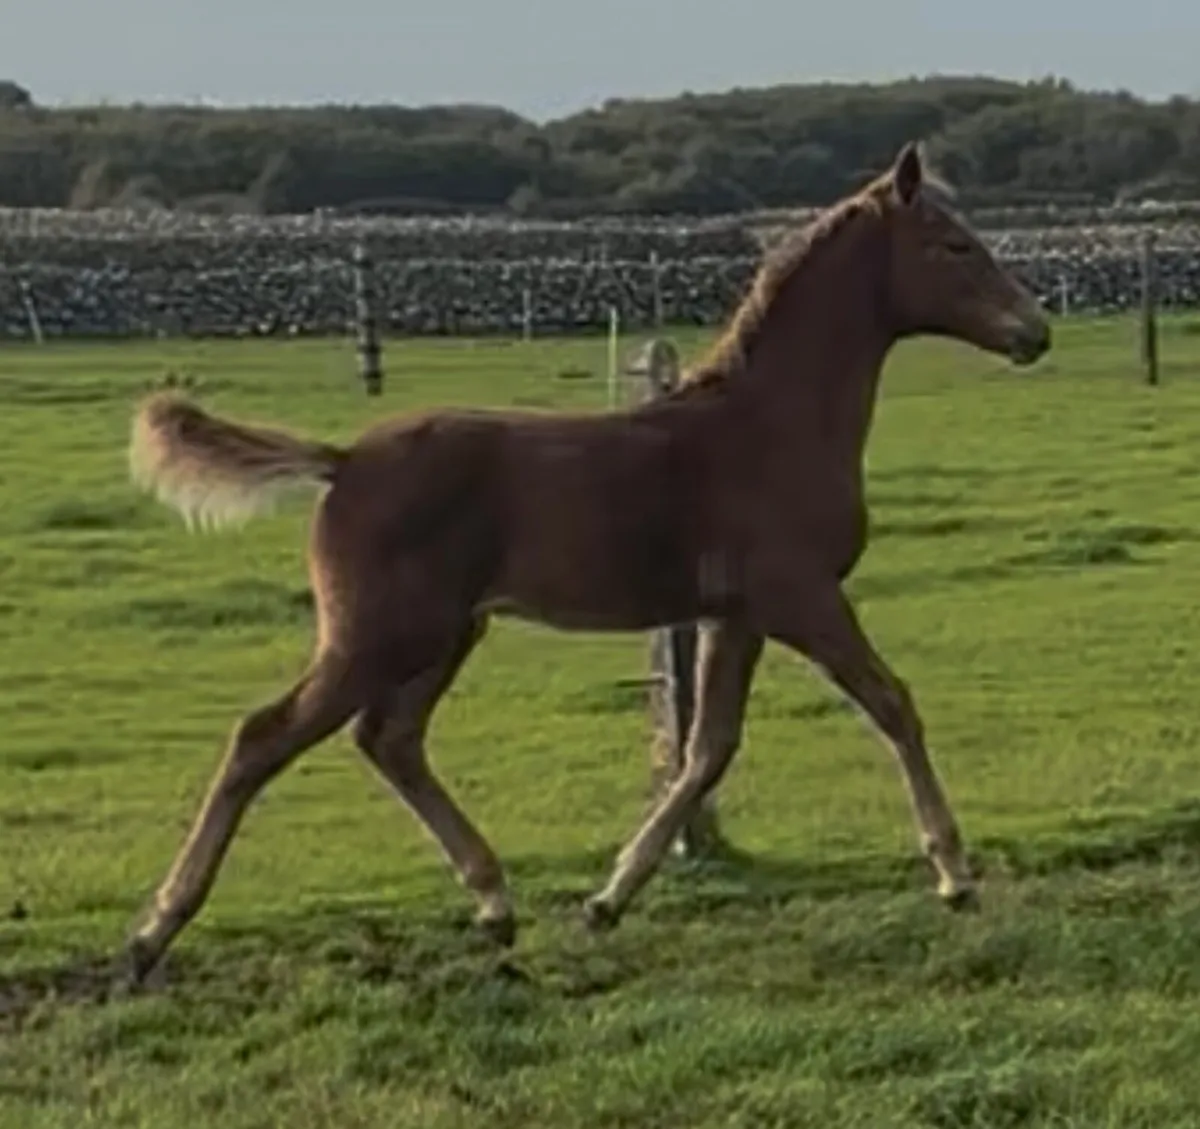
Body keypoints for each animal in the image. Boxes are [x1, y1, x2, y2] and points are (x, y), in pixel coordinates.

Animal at [122, 142, 1050, 984]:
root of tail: (343, 461)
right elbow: (891, 704)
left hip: (444, 635)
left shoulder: (736, 614)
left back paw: (494, 902)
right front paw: (954, 875)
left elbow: (707, 748)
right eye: (955, 246)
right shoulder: (802, 595)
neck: (770, 423)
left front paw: (607, 898)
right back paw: (151, 932)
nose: (1036, 332)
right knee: (263, 736)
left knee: (391, 739)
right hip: (381, 635)